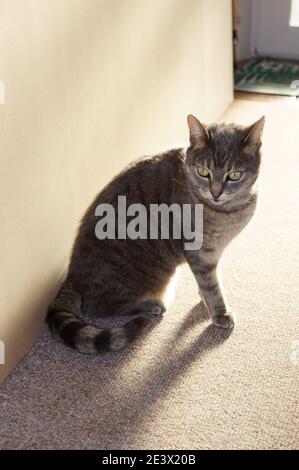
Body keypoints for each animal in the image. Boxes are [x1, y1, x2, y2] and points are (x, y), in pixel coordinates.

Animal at [46, 114, 264, 352]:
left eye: (234, 175)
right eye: (203, 172)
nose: (216, 193)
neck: (228, 210)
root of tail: (71, 277)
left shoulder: (215, 252)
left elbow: (210, 280)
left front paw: (203, 297)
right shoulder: (201, 252)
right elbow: (211, 287)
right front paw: (220, 313)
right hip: (152, 274)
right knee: (98, 306)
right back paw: (151, 304)